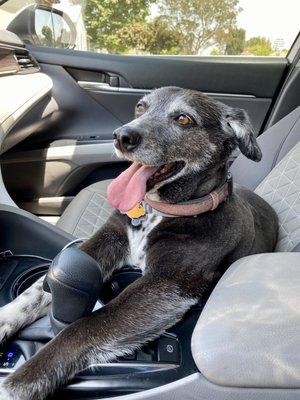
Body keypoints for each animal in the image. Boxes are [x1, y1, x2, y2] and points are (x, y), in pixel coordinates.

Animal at [0, 87, 278, 400]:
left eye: (184, 119)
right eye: (140, 108)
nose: (121, 136)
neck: (159, 212)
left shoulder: (166, 284)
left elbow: (85, 327)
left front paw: (14, 386)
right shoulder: (104, 242)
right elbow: (37, 289)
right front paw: (3, 319)